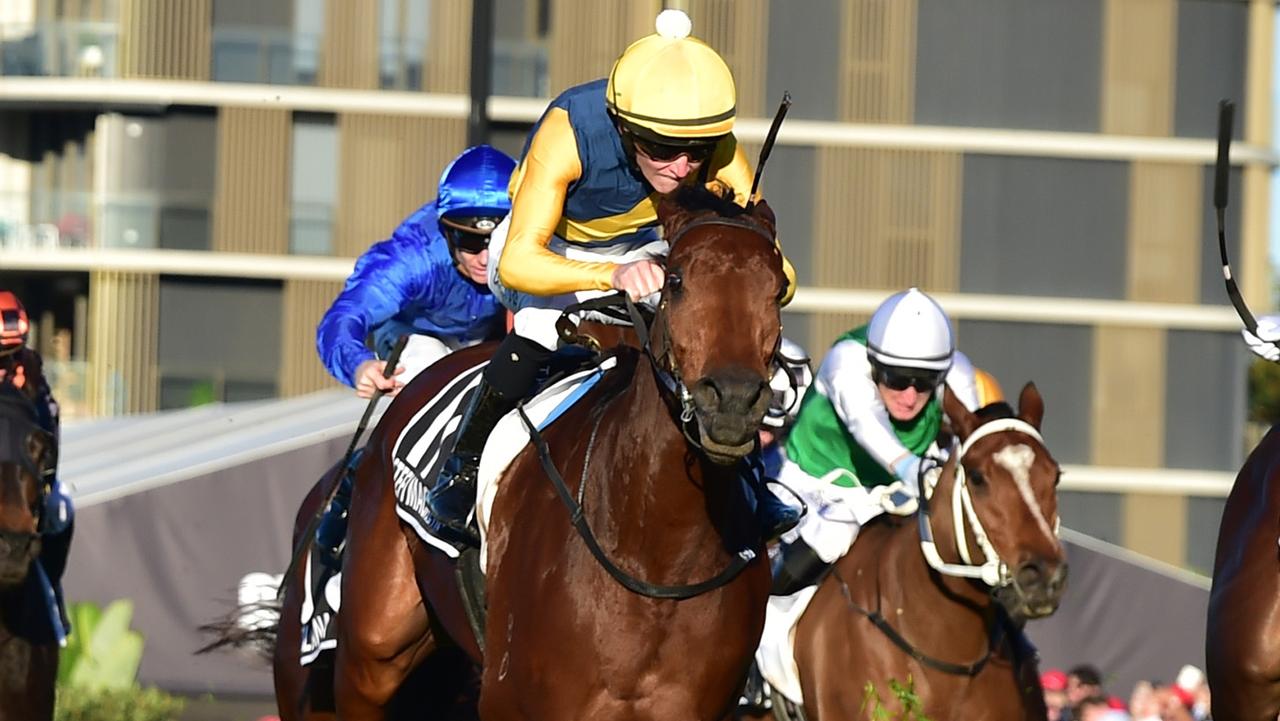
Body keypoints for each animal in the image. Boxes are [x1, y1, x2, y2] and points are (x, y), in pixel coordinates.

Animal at [308, 188, 783, 721]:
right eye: (677, 281)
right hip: (372, 656)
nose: (733, 401)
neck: (657, 554)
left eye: (778, 289)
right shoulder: (512, 699)